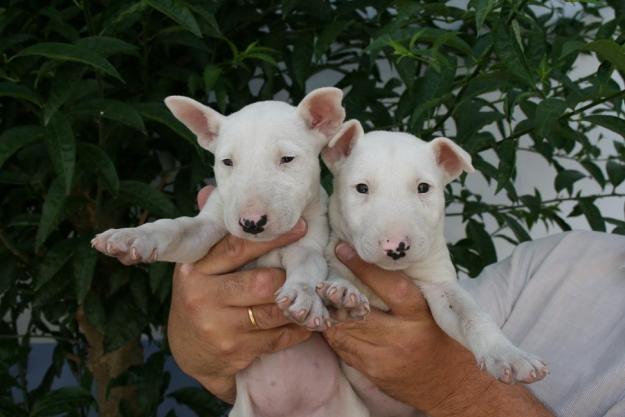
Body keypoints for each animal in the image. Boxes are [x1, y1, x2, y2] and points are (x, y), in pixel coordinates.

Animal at [91, 88, 368, 416]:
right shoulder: (208, 224)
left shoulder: (309, 241)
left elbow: (307, 267)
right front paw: (132, 236)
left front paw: (304, 297)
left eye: (287, 159)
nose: (251, 223)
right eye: (227, 162)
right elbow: (177, 228)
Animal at [320, 119, 548, 416]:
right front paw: (343, 292)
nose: (396, 246)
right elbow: (334, 272)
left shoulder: (439, 284)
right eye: (361, 188)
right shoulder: (335, 249)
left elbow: (474, 315)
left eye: (423, 188)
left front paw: (509, 356)